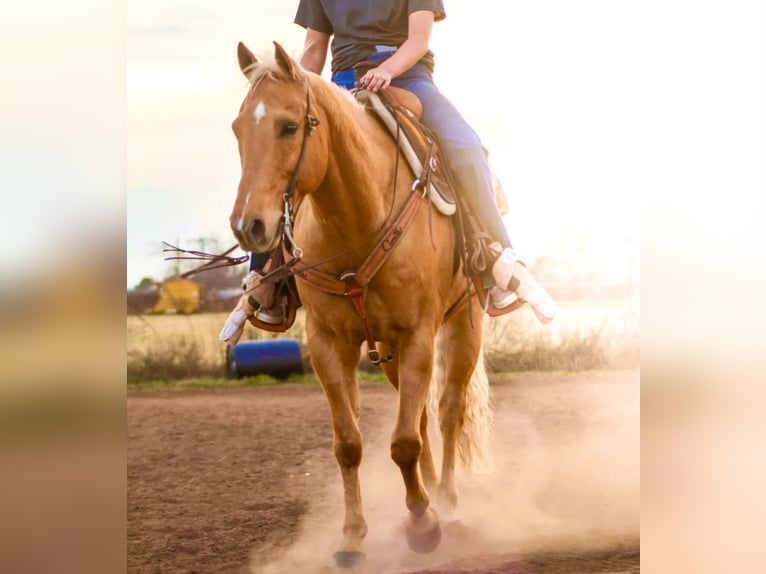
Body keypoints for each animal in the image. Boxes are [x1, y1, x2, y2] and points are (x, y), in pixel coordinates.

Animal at [228, 41, 492, 572]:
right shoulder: (329, 344)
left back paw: (447, 501)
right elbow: (350, 444)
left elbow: (404, 442)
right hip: (389, 352)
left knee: (447, 411)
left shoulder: (419, 335)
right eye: (238, 127)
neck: (356, 218)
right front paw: (353, 538)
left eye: (289, 126)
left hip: (464, 325)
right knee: (421, 415)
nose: (250, 226)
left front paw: (423, 525)